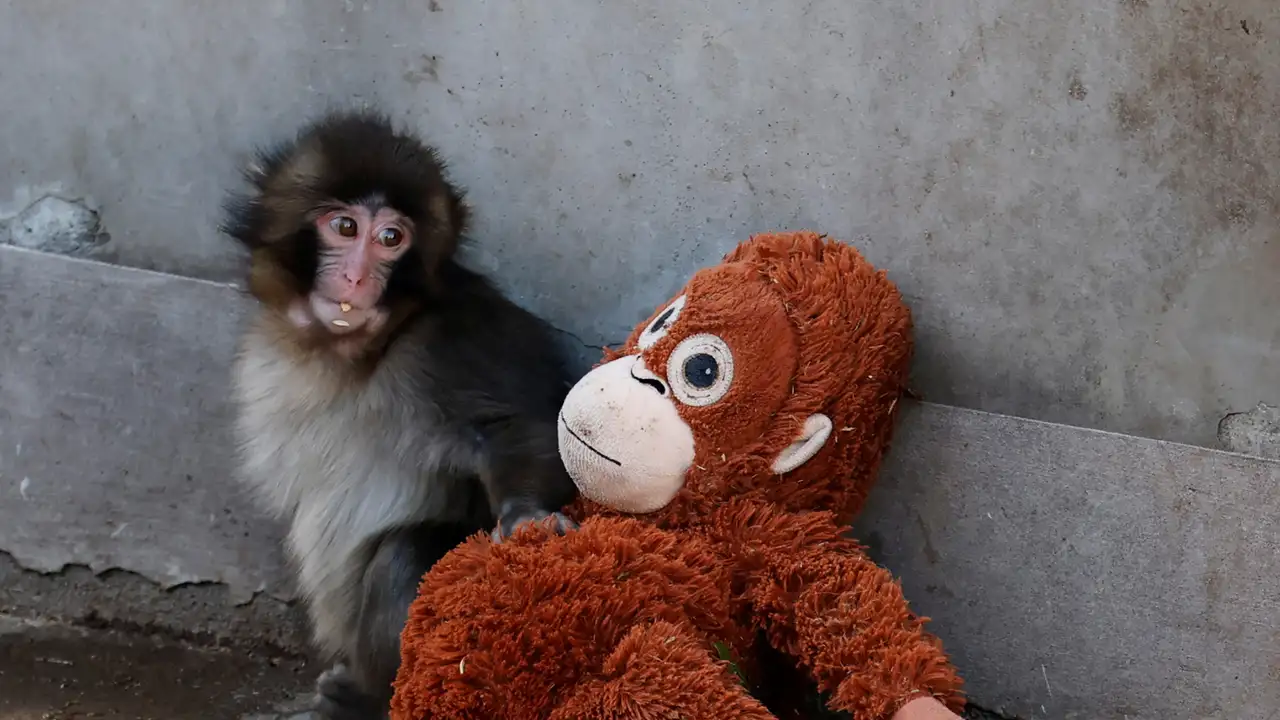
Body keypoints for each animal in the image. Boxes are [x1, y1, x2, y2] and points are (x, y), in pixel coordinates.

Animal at [220, 110, 579, 720]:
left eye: (391, 238)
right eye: (344, 228)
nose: (357, 278)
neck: (359, 352)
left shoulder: (453, 340)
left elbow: (521, 428)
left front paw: (527, 516)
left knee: (405, 556)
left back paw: (368, 699)